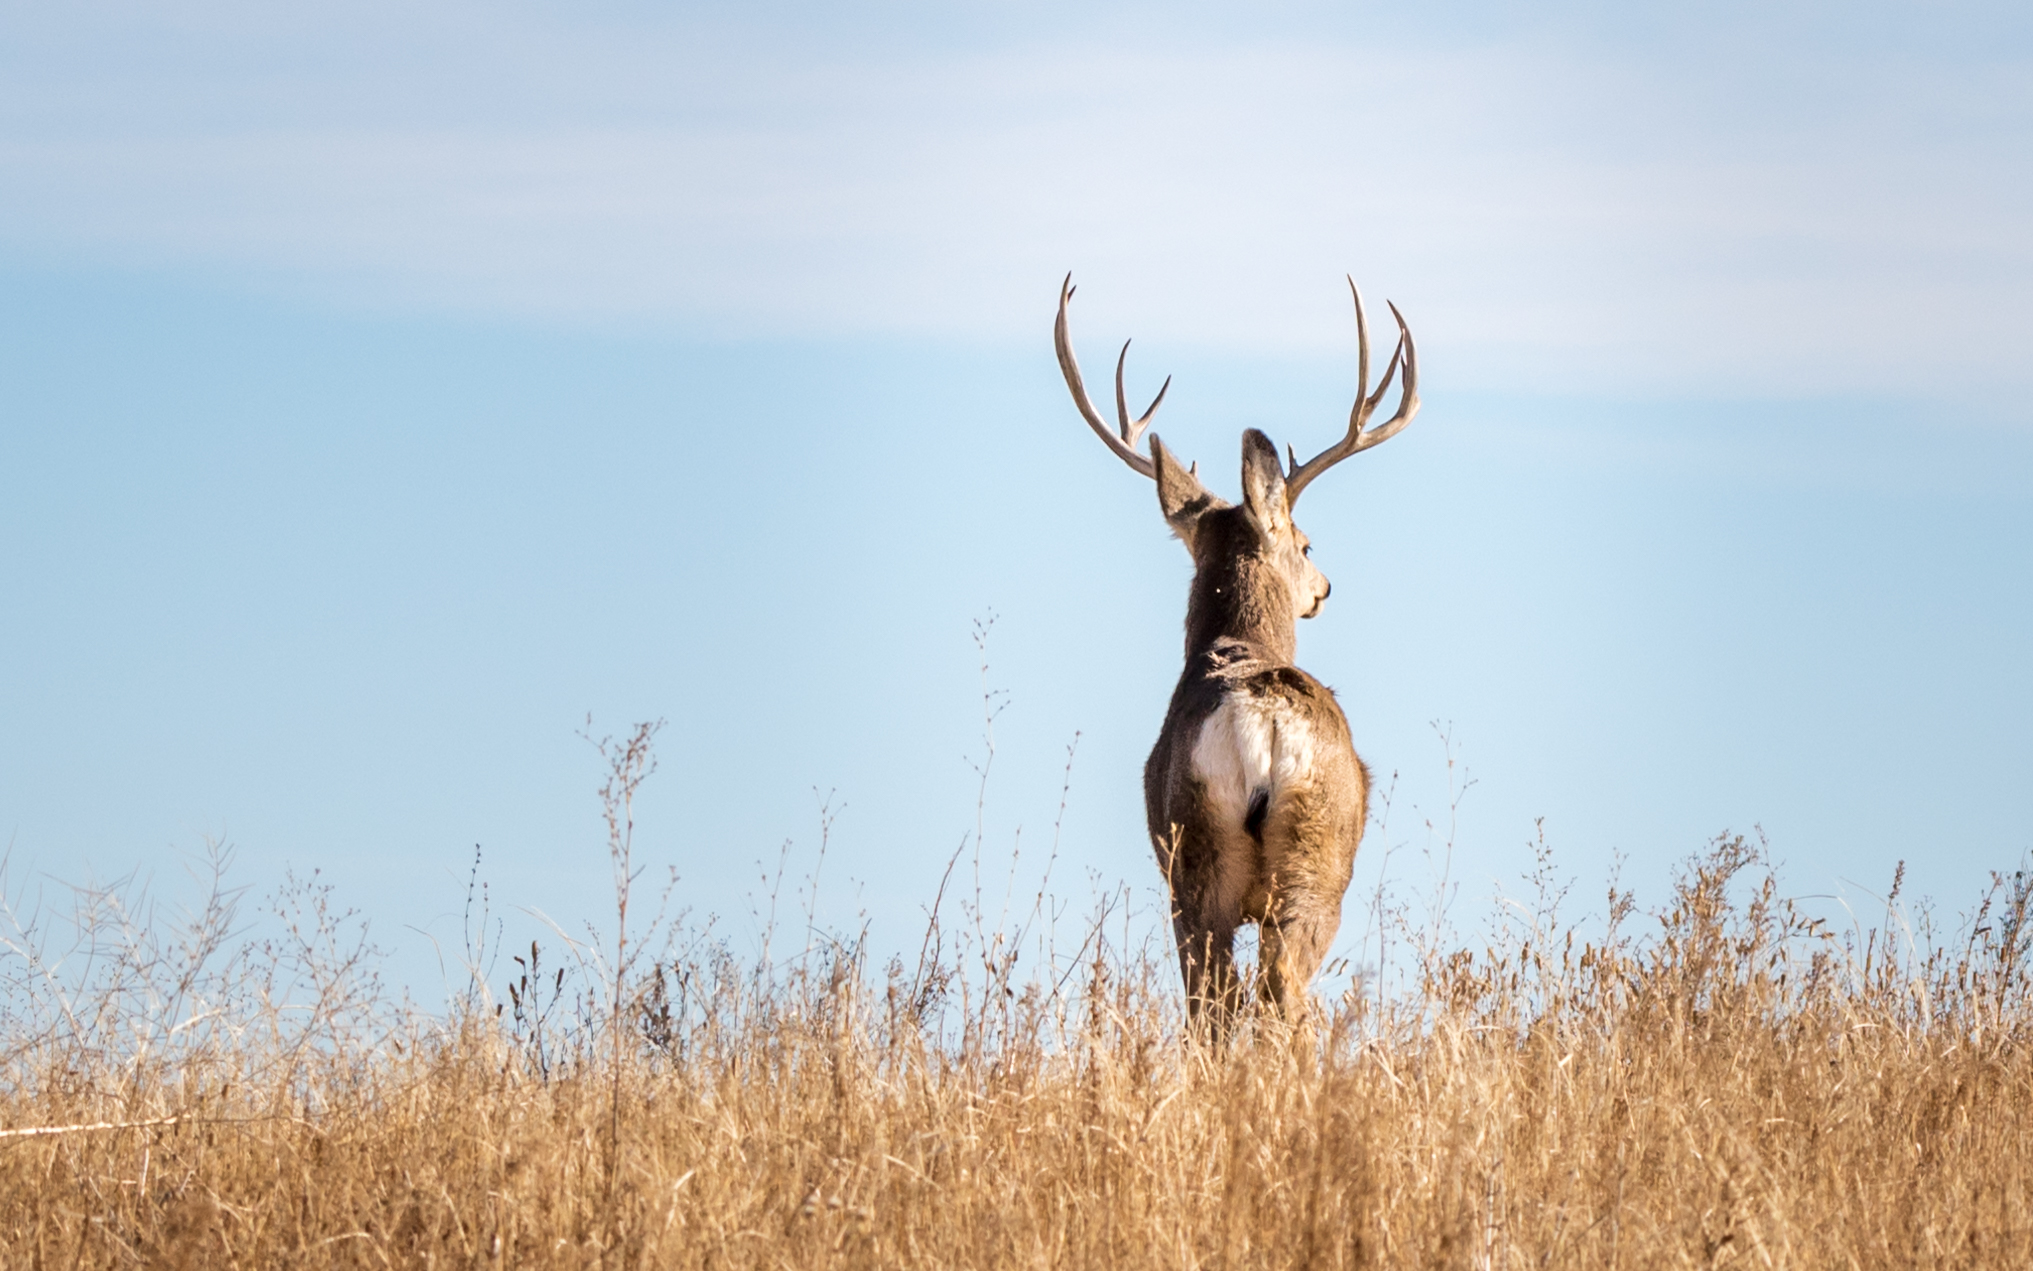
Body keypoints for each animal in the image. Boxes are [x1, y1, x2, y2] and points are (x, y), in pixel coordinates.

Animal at [1057, 274, 1423, 1033]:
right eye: (1307, 543)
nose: (1324, 587)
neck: (1236, 646)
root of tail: (1263, 723)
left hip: (1196, 857)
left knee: (1220, 995)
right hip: (1293, 863)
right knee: (1261, 992)